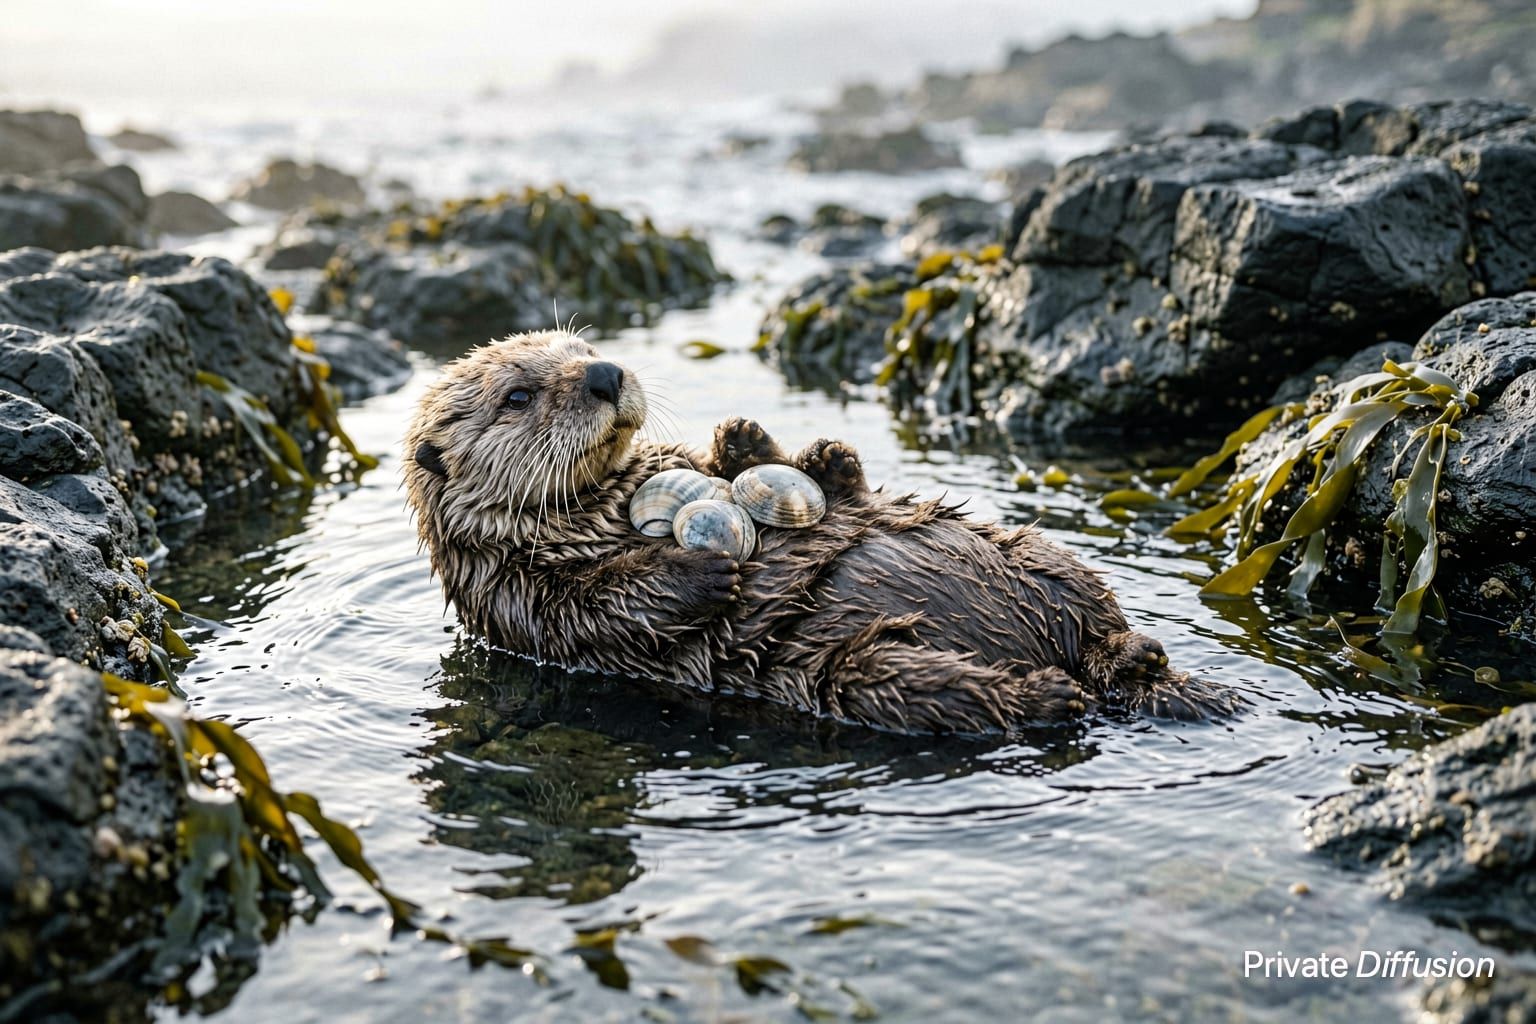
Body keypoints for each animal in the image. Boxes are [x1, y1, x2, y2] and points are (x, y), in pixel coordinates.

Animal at [403, 330, 1238, 733]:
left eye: (581, 348)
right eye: (517, 395)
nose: (606, 374)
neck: (612, 500)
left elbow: (831, 483)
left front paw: (758, 442)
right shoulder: (518, 601)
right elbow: (603, 608)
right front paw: (703, 570)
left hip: (1035, 552)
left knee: (1102, 620)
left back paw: (1133, 652)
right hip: (861, 674)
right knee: (972, 695)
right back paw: (1051, 693)